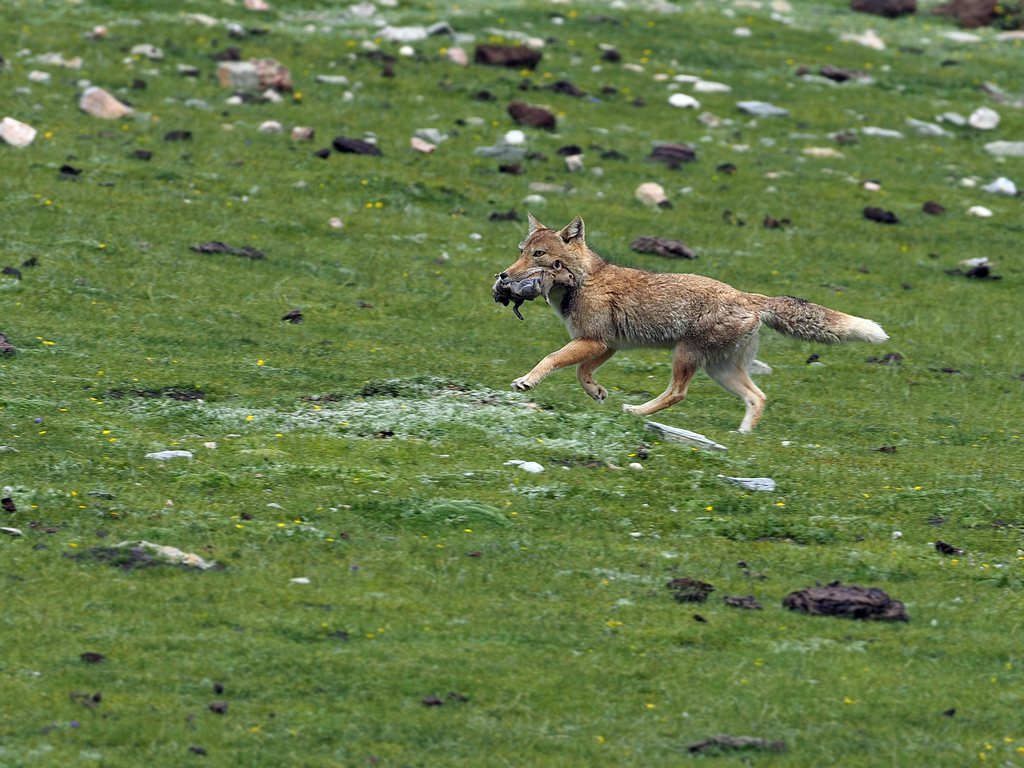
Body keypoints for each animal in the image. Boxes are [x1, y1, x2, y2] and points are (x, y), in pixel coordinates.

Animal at [492, 214, 888, 432]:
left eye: (539, 255)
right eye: (521, 251)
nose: (503, 276)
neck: (584, 279)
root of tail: (748, 297)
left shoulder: (595, 341)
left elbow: (552, 360)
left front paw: (527, 381)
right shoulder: (607, 344)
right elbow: (580, 372)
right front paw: (597, 391)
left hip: (685, 357)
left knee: (677, 393)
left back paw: (636, 411)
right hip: (720, 370)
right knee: (758, 397)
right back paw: (743, 436)